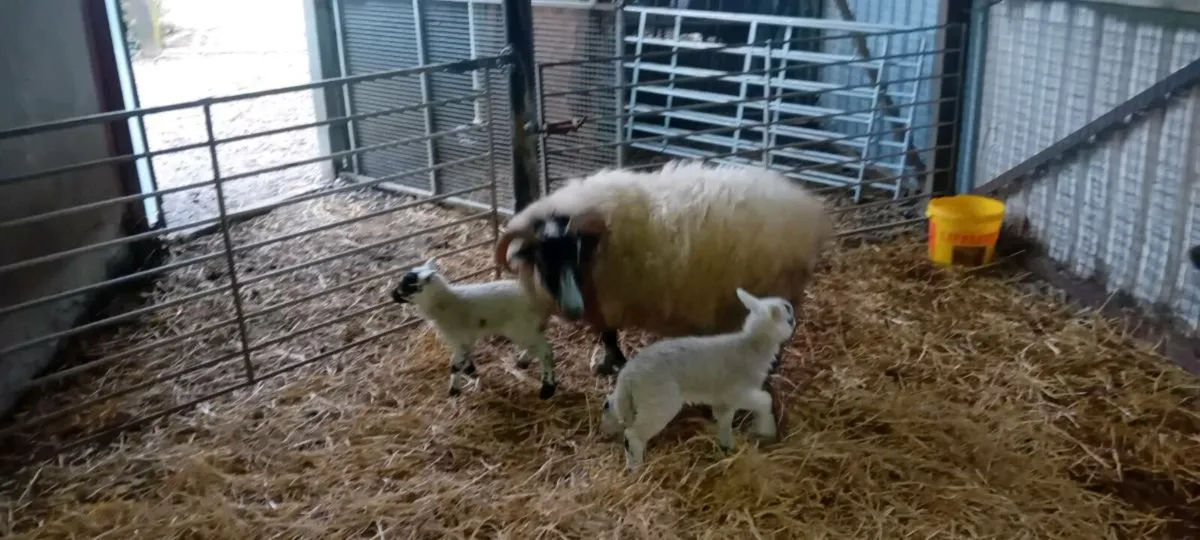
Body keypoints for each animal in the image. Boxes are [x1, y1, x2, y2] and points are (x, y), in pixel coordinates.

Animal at [389, 258, 560, 399]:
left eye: (409, 286)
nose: (392, 295)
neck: (444, 304)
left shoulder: (459, 338)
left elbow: (455, 365)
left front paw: (454, 390)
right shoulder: (462, 339)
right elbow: (466, 357)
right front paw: (470, 370)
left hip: (522, 328)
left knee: (546, 352)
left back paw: (547, 388)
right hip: (529, 328)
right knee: (536, 347)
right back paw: (522, 362)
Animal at [493, 159, 833, 378]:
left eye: (575, 253)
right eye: (543, 257)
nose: (574, 309)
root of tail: (812, 214)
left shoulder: (606, 302)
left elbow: (608, 337)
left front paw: (612, 366)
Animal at [597, 288, 795, 470]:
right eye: (788, 314)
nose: (794, 316)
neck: (753, 346)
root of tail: (628, 374)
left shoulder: (723, 401)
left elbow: (725, 420)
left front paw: (726, 445)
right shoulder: (738, 391)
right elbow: (765, 400)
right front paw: (767, 430)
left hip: (636, 400)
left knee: (613, 406)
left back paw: (609, 430)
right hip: (659, 401)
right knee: (633, 434)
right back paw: (636, 466)